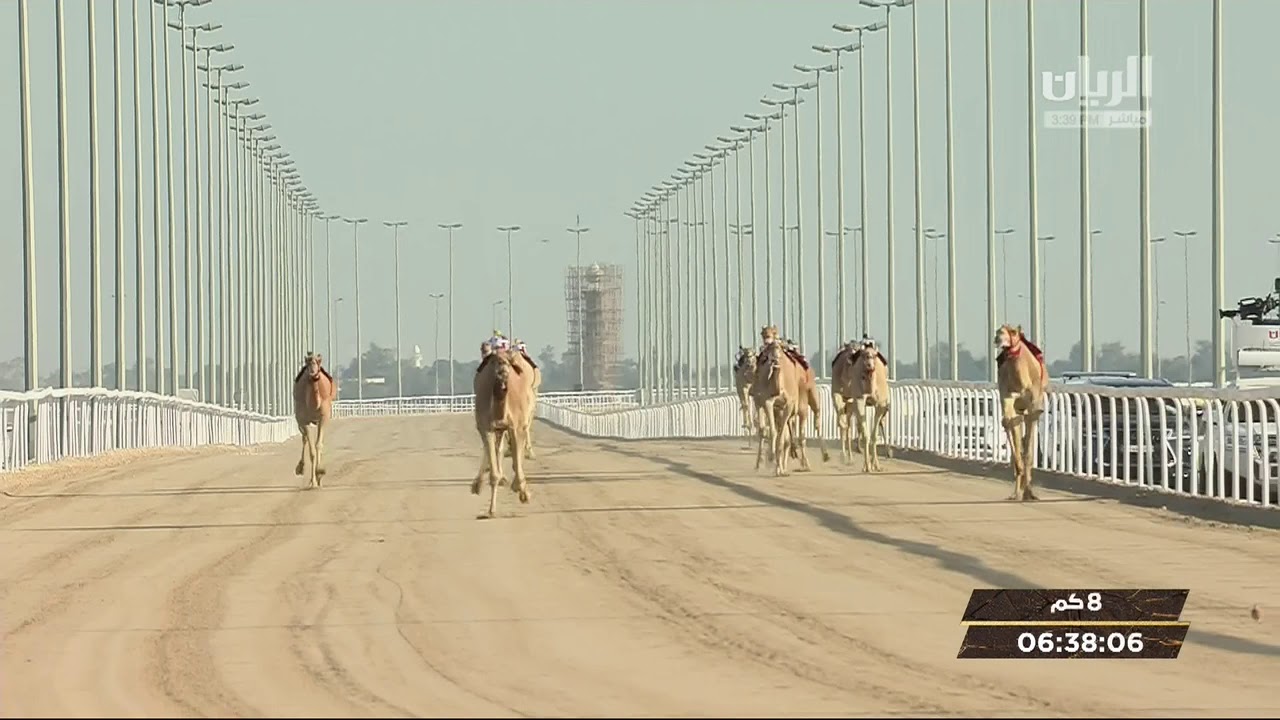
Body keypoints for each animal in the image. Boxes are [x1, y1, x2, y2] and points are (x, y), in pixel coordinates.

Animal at [293, 351, 337, 489]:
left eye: (318, 362)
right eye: (307, 363)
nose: (313, 373)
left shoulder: (323, 418)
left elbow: (318, 445)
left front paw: (320, 473)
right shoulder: (304, 420)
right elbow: (311, 451)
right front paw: (313, 482)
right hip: (299, 419)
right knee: (304, 438)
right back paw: (300, 468)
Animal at [472, 347, 536, 518]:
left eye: (508, 362)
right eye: (494, 361)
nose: (503, 373)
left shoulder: (516, 426)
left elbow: (517, 458)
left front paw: (523, 492)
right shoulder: (486, 427)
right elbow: (494, 471)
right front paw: (491, 510)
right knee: (496, 449)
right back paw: (478, 484)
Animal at [994, 323, 1049, 501]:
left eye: (1013, 332)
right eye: (998, 331)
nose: (998, 337)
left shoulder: (1033, 404)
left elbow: (1029, 449)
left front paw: (1029, 492)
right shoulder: (1007, 395)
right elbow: (1007, 421)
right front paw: (1019, 485)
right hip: (1018, 407)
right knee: (1015, 425)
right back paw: (1016, 491)